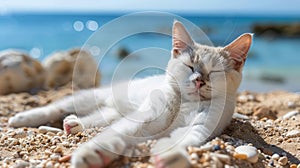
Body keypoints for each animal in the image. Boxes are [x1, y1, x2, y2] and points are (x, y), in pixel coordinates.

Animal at [9, 21, 252, 168]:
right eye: (190, 66)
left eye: (214, 72)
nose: (199, 80)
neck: (185, 104)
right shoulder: (145, 117)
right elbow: (115, 134)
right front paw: (92, 154)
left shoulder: (199, 128)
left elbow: (181, 140)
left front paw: (168, 156)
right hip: (91, 97)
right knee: (56, 107)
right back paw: (21, 118)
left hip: (111, 111)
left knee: (98, 118)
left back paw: (73, 124)